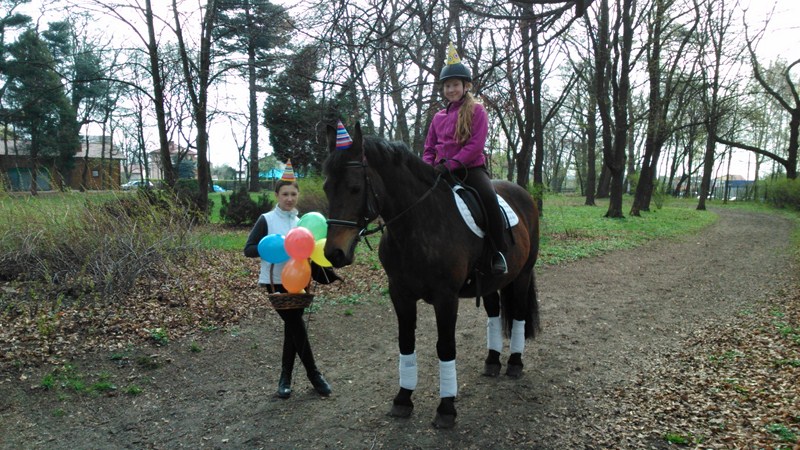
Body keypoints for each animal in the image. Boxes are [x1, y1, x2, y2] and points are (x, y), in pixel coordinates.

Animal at [322, 122, 540, 429]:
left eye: (355, 188)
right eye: (326, 188)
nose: (334, 253)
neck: (417, 224)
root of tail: (523, 194)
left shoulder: (445, 298)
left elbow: (445, 347)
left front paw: (446, 408)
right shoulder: (399, 294)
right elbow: (406, 343)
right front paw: (403, 399)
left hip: (523, 275)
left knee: (519, 315)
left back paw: (515, 364)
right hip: (490, 283)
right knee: (494, 315)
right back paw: (492, 361)